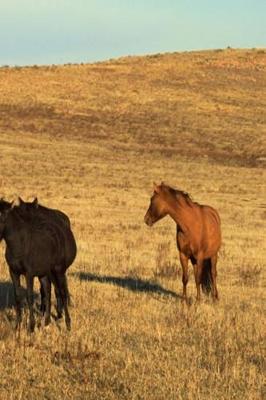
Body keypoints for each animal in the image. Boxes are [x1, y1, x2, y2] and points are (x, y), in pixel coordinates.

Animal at [0, 198, 76, 332]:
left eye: (2, 215)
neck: (20, 244)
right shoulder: (13, 272)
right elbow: (18, 296)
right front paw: (17, 325)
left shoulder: (29, 274)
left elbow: (29, 296)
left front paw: (31, 327)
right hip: (45, 273)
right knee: (48, 290)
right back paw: (46, 322)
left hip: (58, 270)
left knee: (61, 292)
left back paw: (67, 324)